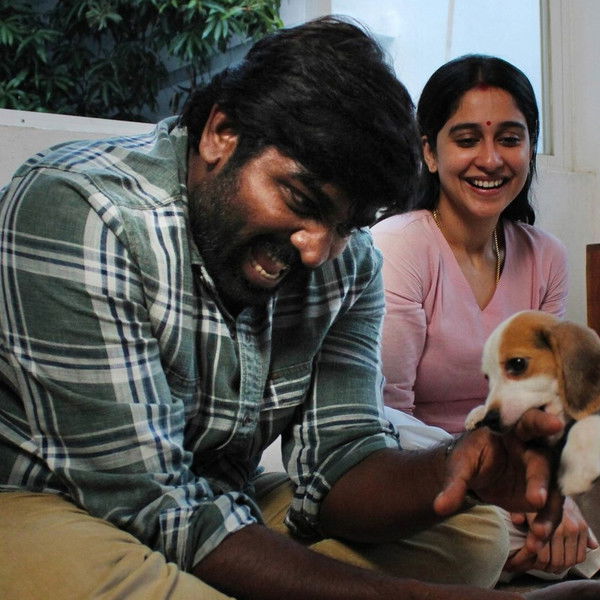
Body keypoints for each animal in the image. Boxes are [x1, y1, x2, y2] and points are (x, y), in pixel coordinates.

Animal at [465, 310, 600, 496]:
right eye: (487, 377)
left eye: (517, 363)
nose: (490, 420)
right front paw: (479, 411)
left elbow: (583, 424)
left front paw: (576, 471)